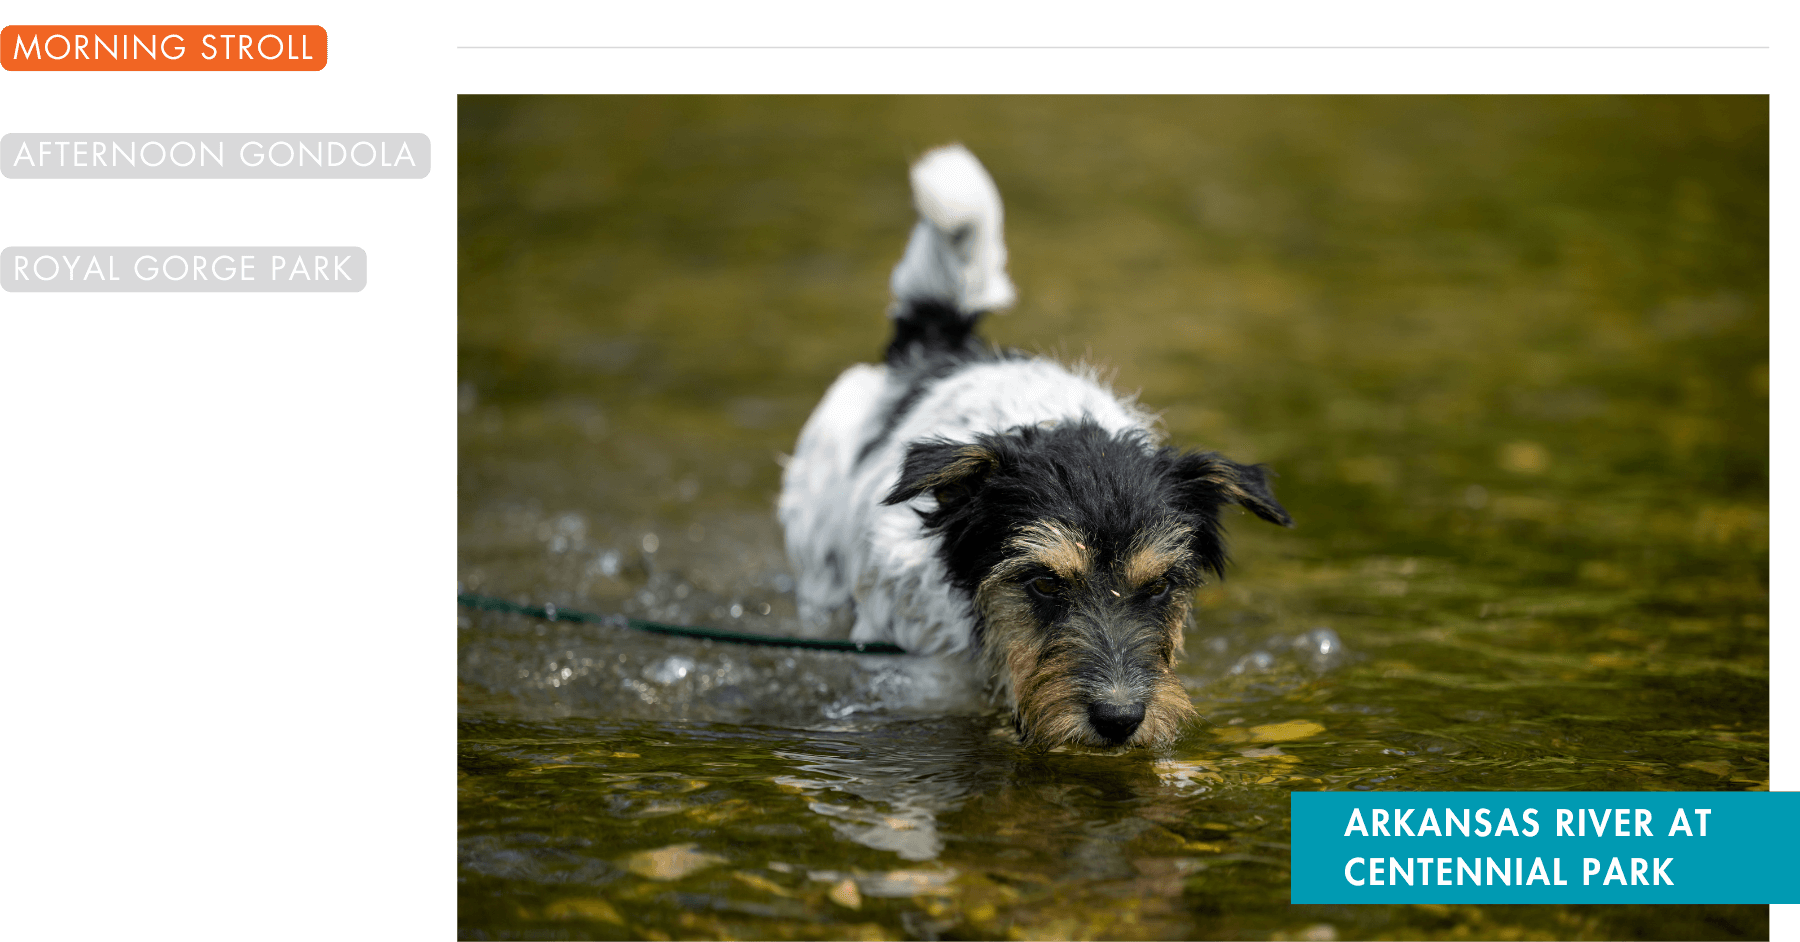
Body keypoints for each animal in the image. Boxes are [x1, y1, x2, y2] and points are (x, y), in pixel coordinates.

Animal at [774, 145, 1296, 752]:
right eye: (1043, 582)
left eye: (1161, 584)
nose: (1120, 719)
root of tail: (933, 346)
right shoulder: (921, 684)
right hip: (819, 581)